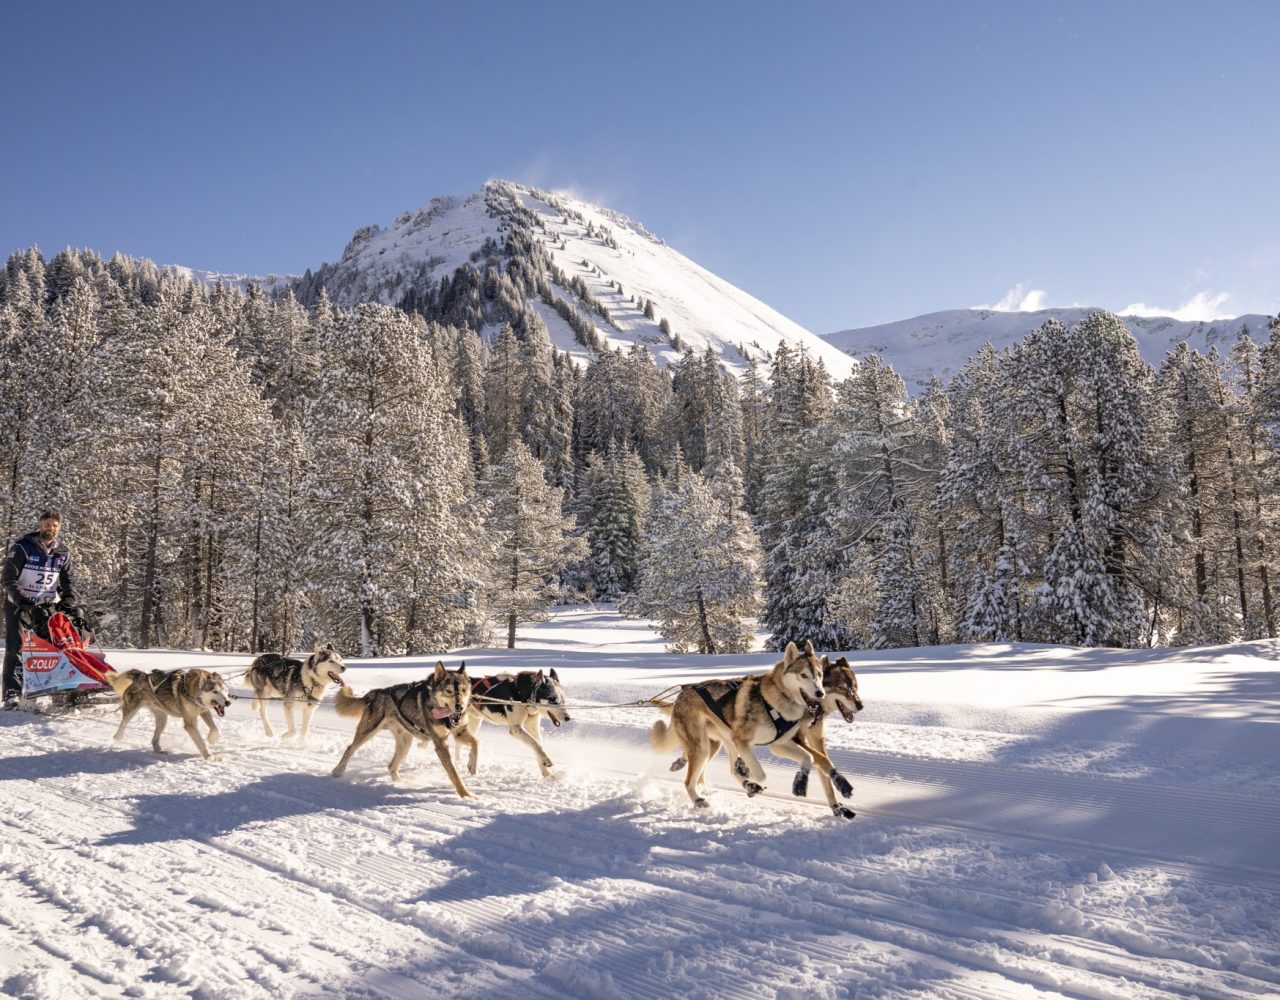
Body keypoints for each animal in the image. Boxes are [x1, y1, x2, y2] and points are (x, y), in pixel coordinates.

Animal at [103, 665, 231, 763]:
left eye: (225, 690)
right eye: (215, 691)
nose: (228, 702)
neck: (191, 690)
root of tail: (142, 675)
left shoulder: (204, 711)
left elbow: (214, 728)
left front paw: (212, 739)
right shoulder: (190, 723)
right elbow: (201, 742)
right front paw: (209, 755)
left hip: (162, 719)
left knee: (154, 739)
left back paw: (159, 750)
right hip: (132, 710)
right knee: (123, 724)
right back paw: (116, 738)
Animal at [332, 660, 473, 798]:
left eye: (464, 690)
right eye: (449, 691)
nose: (460, 706)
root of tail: (377, 692)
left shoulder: (460, 732)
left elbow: (476, 743)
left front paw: (472, 766)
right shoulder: (441, 744)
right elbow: (454, 773)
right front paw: (466, 794)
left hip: (405, 744)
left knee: (391, 766)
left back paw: (399, 783)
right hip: (368, 732)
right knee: (350, 749)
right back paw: (338, 770)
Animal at [650, 640, 829, 809]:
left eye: (819, 675)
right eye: (804, 675)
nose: (820, 693)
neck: (777, 698)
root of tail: (681, 695)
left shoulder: (779, 744)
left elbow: (808, 757)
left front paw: (800, 782)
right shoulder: (743, 741)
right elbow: (761, 774)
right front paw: (747, 774)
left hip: (721, 743)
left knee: (719, 770)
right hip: (704, 747)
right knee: (689, 781)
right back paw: (698, 799)